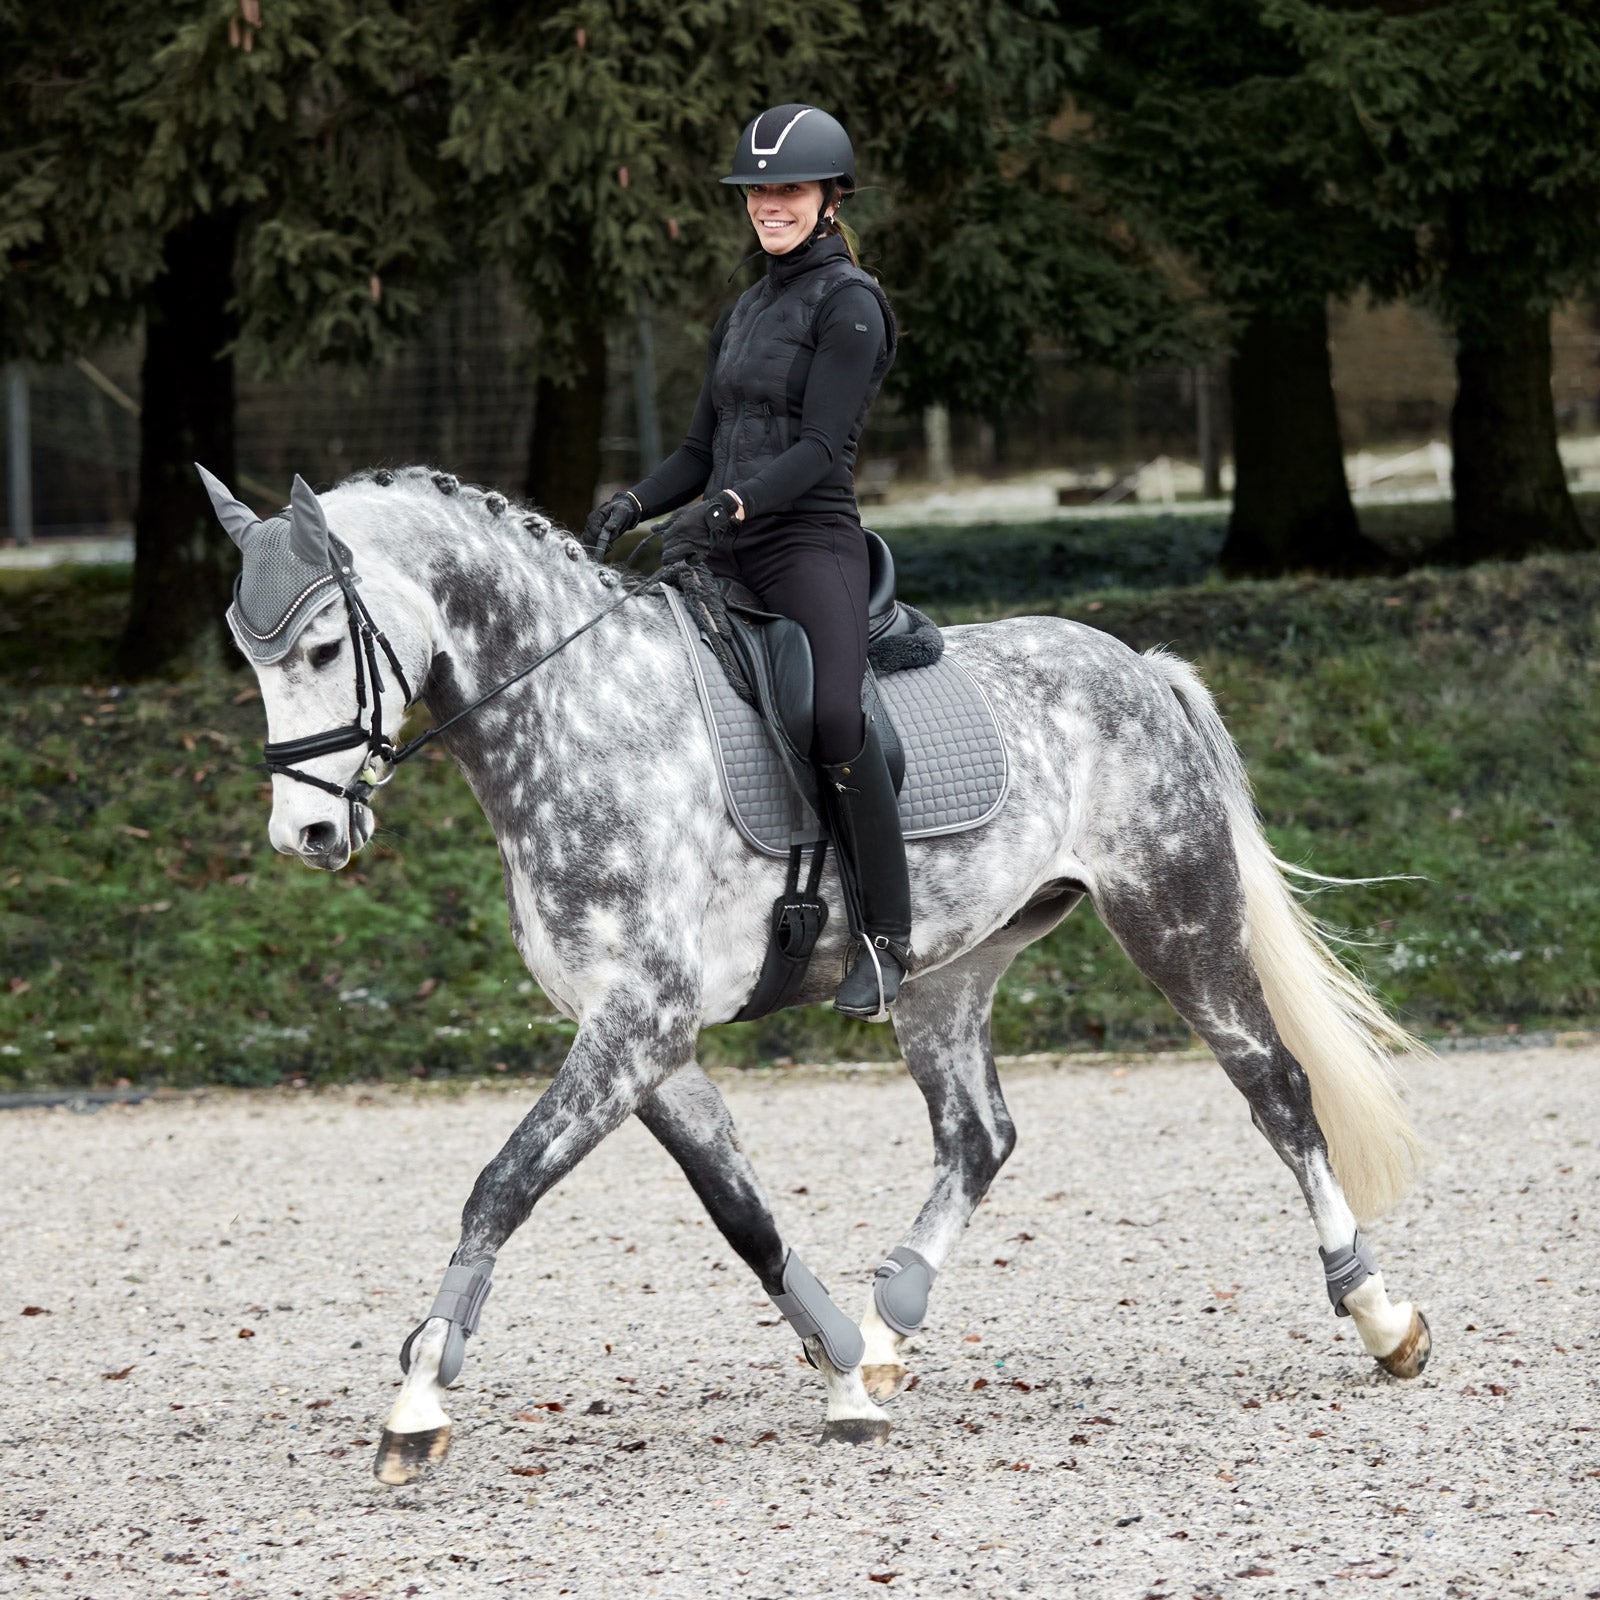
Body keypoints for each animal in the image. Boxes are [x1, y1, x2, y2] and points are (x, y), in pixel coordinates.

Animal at [200, 464, 1431, 1487]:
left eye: (321, 649)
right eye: (248, 654)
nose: (307, 835)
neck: (581, 718)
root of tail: (1137, 663)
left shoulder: (639, 1024)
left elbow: (501, 1184)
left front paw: (415, 1399)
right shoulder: (642, 1038)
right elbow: (742, 1214)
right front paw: (842, 1370)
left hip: (1174, 917)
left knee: (1276, 1088)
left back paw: (1378, 1314)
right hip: (946, 972)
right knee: (978, 1137)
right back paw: (889, 1329)